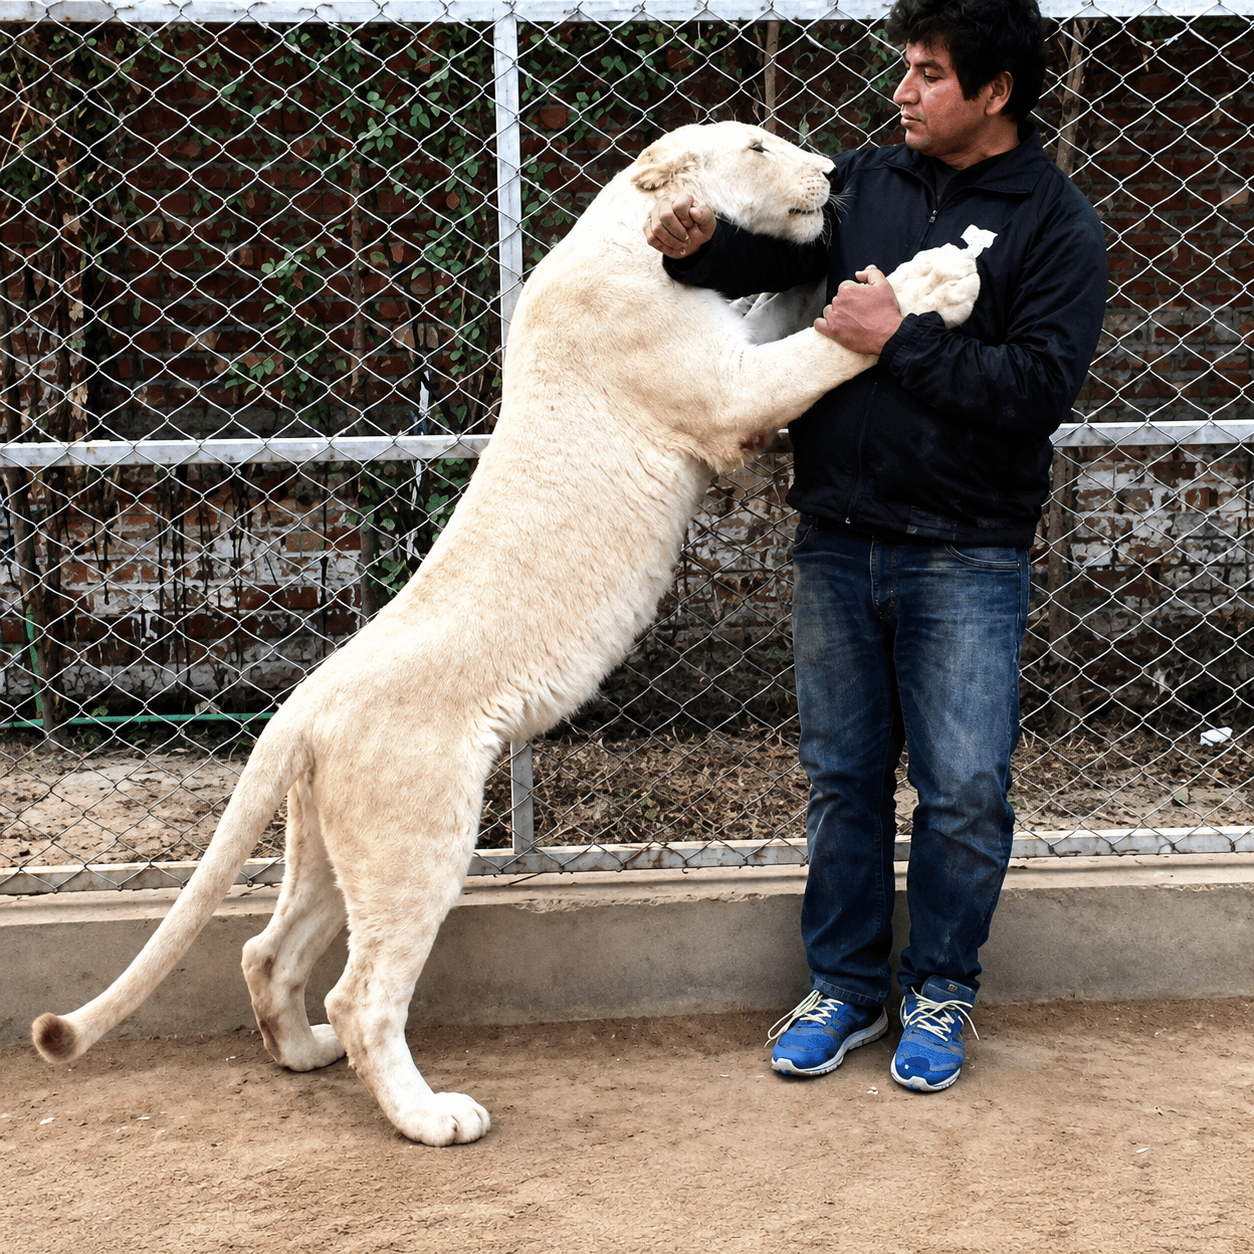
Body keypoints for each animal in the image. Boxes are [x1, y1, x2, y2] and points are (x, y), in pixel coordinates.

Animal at [31, 122, 980, 1145]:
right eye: (760, 145)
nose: (832, 173)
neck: (631, 235)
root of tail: (302, 705)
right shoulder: (723, 395)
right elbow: (822, 348)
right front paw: (930, 278)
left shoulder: (733, 349)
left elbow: (788, 305)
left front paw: (858, 272)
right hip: (416, 832)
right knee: (360, 994)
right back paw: (431, 1117)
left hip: (331, 845)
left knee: (267, 952)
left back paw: (303, 1056)